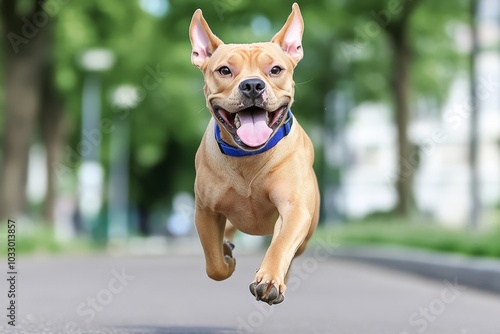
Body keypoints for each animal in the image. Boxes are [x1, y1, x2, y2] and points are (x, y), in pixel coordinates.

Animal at [189, 3, 318, 306]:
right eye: (224, 70)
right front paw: (226, 260)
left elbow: (280, 245)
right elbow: (214, 265)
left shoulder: (294, 209)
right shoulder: (206, 211)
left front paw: (269, 280)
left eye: (275, 69)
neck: (249, 157)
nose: (252, 85)